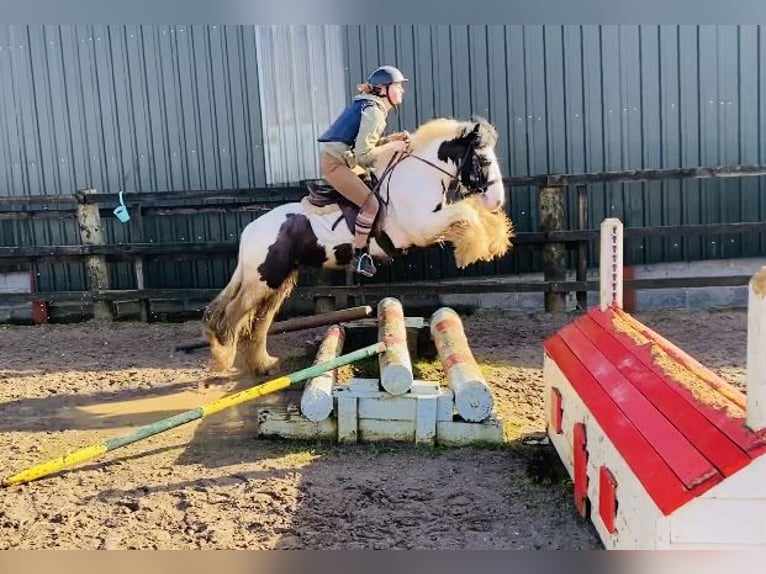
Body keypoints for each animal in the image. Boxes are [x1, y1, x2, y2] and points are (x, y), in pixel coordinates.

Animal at [202, 119, 516, 376]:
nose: (497, 200)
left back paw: (263, 364)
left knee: (259, 321)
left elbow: (472, 215)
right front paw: (476, 249)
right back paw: (222, 360)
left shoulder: (433, 225)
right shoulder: (420, 228)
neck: (416, 177)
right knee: (231, 315)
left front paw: (491, 241)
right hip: (264, 279)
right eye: (483, 160)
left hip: (278, 282)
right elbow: (467, 211)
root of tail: (250, 231)